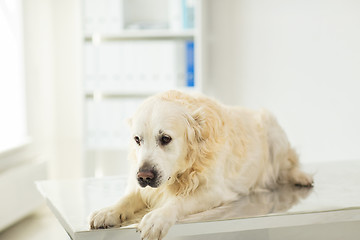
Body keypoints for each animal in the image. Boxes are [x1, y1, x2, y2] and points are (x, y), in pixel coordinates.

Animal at [89, 90, 312, 240]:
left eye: (165, 138)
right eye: (137, 140)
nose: (144, 176)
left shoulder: (214, 190)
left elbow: (178, 202)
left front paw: (157, 217)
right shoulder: (143, 186)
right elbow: (127, 198)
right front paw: (107, 211)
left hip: (274, 131)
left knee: (287, 165)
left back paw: (301, 176)